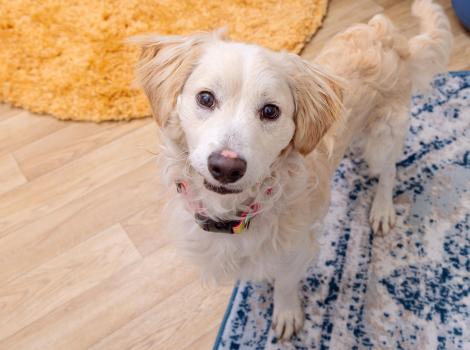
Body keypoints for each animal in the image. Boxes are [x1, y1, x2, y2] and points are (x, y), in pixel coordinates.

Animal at [131, 0, 452, 340]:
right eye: (205, 98)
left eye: (270, 111)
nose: (226, 167)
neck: (235, 212)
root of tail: (387, 34)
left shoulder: (295, 251)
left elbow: (285, 285)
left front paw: (286, 313)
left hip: (383, 138)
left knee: (389, 171)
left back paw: (382, 209)